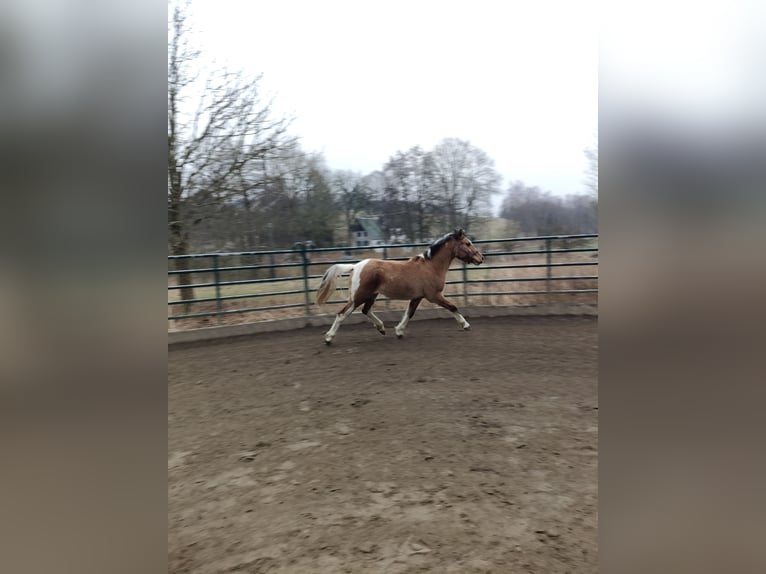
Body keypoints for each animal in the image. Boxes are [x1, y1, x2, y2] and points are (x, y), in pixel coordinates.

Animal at [316, 229, 484, 344]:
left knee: (365, 310)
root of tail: (356, 266)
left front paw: (399, 331)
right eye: (467, 243)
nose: (481, 258)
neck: (431, 266)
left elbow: (409, 313)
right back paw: (328, 338)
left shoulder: (418, 297)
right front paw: (466, 325)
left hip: (371, 295)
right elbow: (453, 307)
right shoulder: (433, 296)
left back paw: (382, 328)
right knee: (342, 314)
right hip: (358, 297)